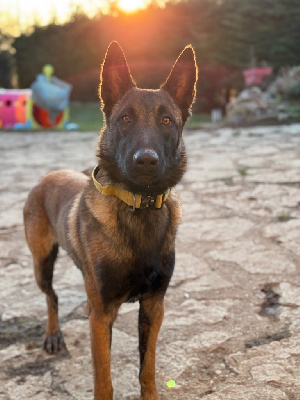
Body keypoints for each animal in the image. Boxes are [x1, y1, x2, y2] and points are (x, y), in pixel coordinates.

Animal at [23, 41, 197, 400]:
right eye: (125, 119)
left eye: (167, 121)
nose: (146, 161)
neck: (139, 207)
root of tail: (47, 176)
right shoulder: (101, 316)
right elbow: (104, 382)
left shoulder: (153, 306)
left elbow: (147, 369)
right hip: (42, 263)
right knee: (51, 296)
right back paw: (53, 335)